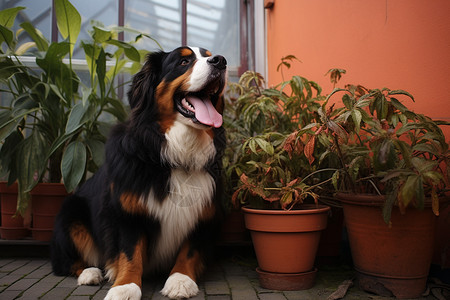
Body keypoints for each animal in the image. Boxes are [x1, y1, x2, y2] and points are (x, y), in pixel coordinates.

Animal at [51, 47, 227, 300]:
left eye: (209, 55)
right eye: (184, 62)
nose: (221, 62)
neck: (174, 153)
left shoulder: (204, 213)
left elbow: (189, 251)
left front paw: (180, 280)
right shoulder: (127, 211)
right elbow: (130, 252)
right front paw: (125, 286)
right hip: (71, 213)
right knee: (64, 262)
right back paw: (90, 272)